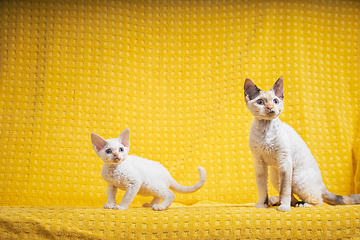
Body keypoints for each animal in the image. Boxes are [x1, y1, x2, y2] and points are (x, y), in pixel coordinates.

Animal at [245, 77, 360, 212]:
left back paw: (300, 204)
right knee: (292, 198)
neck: (265, 130)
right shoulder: (259, 163)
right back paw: (273, 202)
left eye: (275, 101)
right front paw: (262, 205)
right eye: (260, 102)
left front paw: (283, 208)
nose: (270, 107)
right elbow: (263, 188)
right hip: (275, 177)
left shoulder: (284, 160)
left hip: (296, 178)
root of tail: (322, 184)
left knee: (317, 200)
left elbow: (285, 190)